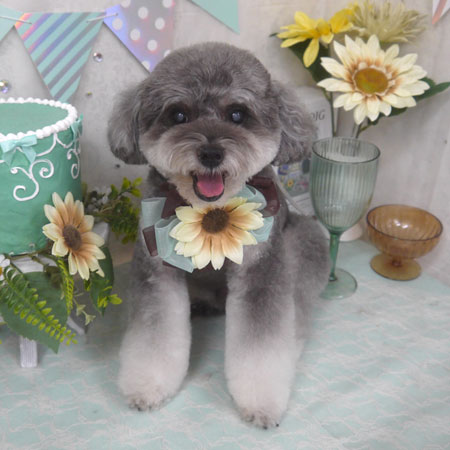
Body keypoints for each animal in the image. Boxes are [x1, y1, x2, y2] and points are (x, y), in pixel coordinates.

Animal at [108, 42, 330, 428]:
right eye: (178, 114)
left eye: (238, 114)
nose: (211, 152)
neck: (208, 211)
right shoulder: (156, 267)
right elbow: (154, 335)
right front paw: (147, 385)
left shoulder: (260, 270)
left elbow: (261, 344)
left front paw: (261, 401)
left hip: (305, 238)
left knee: (297, 304)